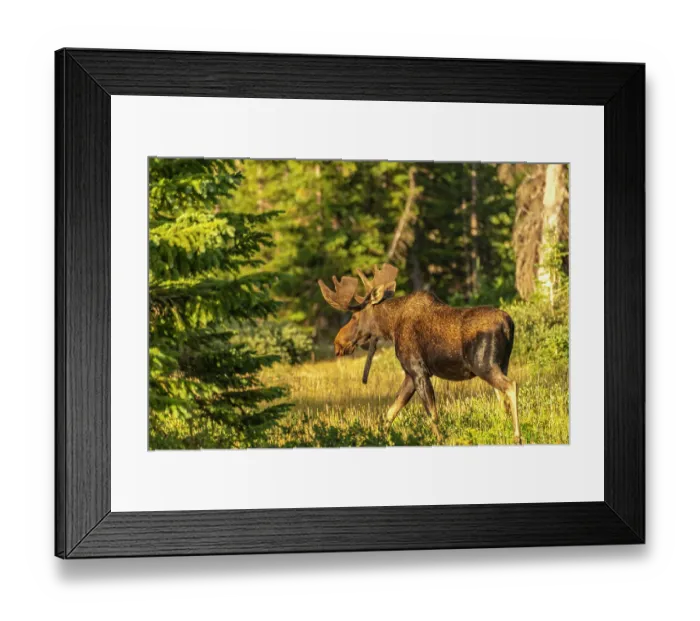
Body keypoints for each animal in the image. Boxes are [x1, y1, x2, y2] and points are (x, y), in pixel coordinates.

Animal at [318, 264, 521, 444]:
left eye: (354, 317)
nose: (338, 343)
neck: (391, 327)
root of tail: (509, 324)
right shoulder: (409, 374)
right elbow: (390, 413)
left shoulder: (418, 371)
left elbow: (432, 415)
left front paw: (439, 441)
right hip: (502, 364)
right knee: (502, 397)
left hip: (484, 365)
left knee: (511, 386)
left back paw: (517, 436)